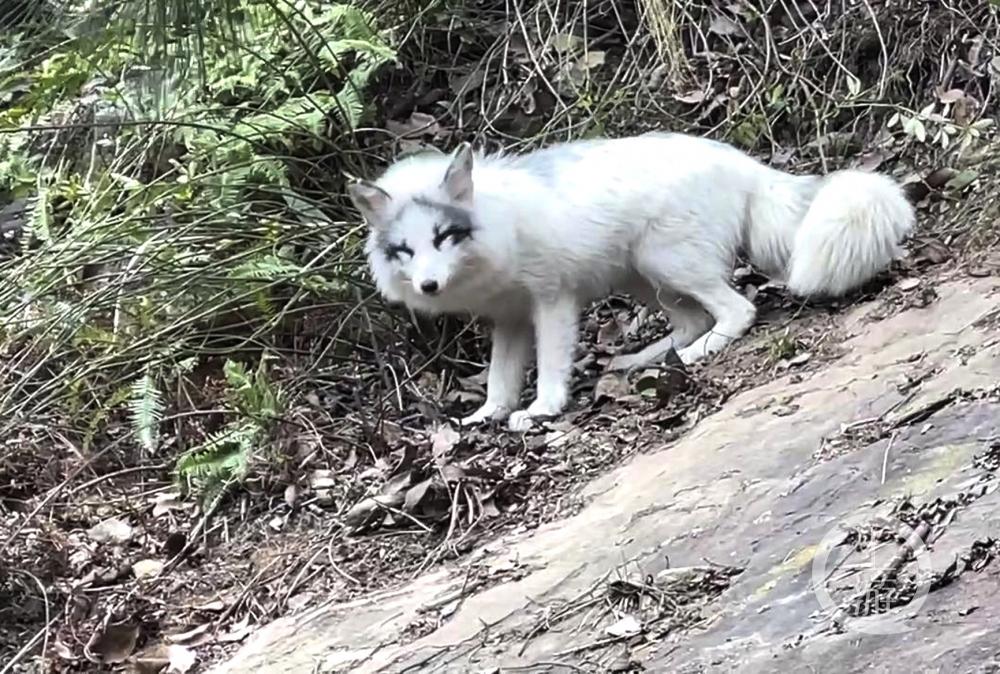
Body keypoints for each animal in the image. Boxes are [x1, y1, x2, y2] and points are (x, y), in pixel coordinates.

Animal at [348, 131, 916, 430]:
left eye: (444, 236)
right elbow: (499, 377)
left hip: (666, 262)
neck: (496, 221)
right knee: (689, 321)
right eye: (404, 250)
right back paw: (644, 360)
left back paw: (697, 354)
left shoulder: (551, 302)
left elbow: (549, 365)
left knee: (737, 311)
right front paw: (489, 414)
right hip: (642, 277)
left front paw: (544, 407)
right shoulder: (507, 319)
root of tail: (739, 160)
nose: (428, 287)